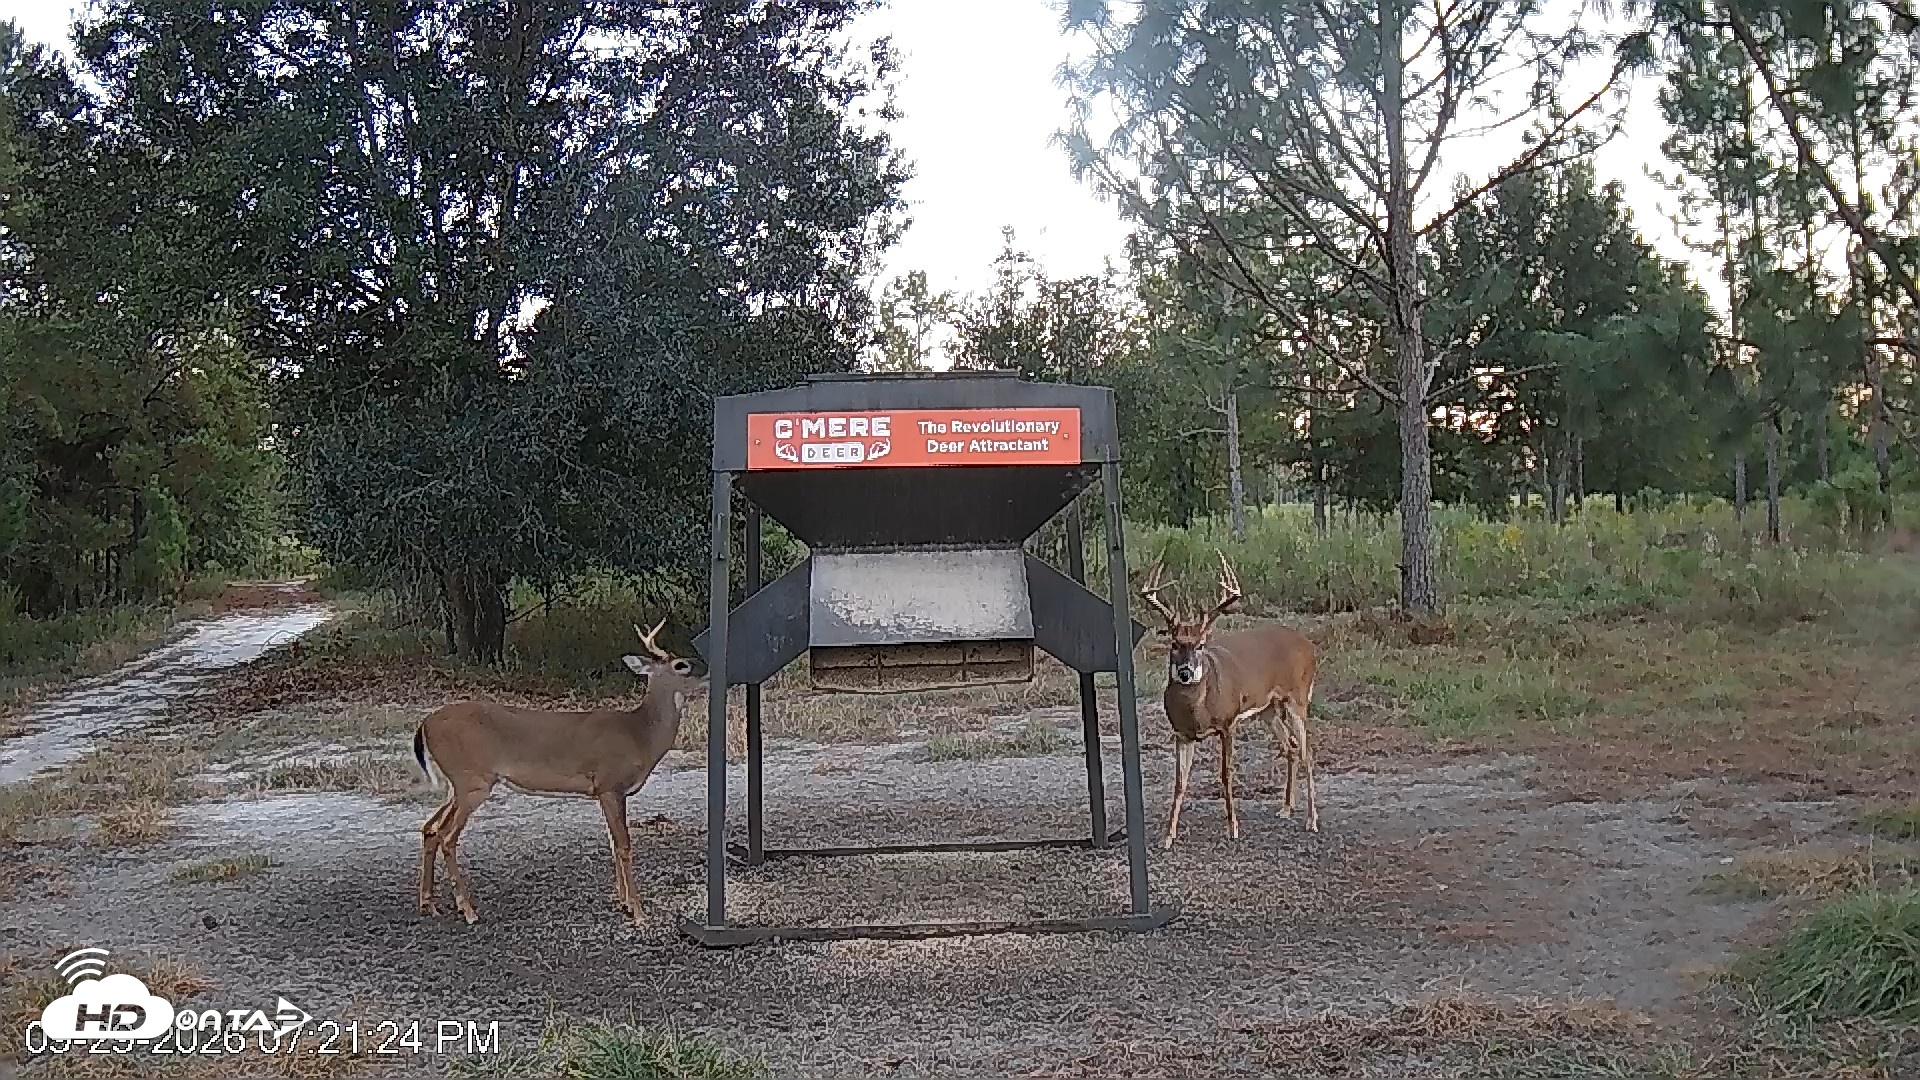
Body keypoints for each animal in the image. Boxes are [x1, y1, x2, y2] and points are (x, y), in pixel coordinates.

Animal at [411, 618, 706, 925]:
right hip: (472, 781)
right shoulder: (610, 785)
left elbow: (613, 844)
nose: (707, 671)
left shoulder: (606, 793)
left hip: (457, 784)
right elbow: (624, 845)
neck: (640, 735)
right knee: (446, 837)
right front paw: (638, 912)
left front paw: (624, 904)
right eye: (681, 665)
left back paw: (429, 904)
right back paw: (468, 910)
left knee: (430, 828)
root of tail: (424, 725)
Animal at [1139, 553, 1320, 849]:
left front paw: (1233, 828)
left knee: (1307, 752)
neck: (1197, 710)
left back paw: (1312, 820)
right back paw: (1285, 808)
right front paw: (1167, 836)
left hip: (1298, 698)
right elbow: (1180, 781)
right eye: (1175, 644)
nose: (1185, 672)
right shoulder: (1181, 733)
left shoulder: (1228, 723)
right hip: (1268, 709)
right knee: (1291, 746)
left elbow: (1226, 774)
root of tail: (1308, 645)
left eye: (1201, 644)